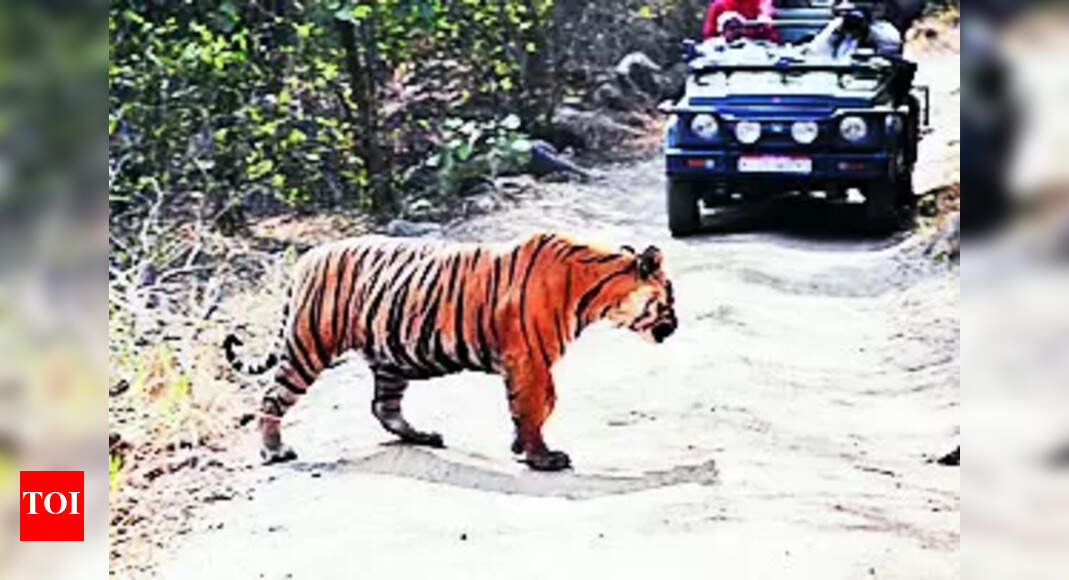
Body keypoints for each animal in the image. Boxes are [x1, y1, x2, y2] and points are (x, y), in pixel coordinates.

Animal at [224, 232, 677, 471]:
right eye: (669, 297)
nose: (675, 327)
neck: (596, 291)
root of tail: (309, 256)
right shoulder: (530, 359)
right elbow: (537, 405)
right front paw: (541, 456)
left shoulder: (531, 362)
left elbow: (534, 405)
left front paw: (520, 446)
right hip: (308, 345)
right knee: (271, 398)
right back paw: (274, 450)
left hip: (390, 356)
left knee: (383, 406)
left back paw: (422, 435)